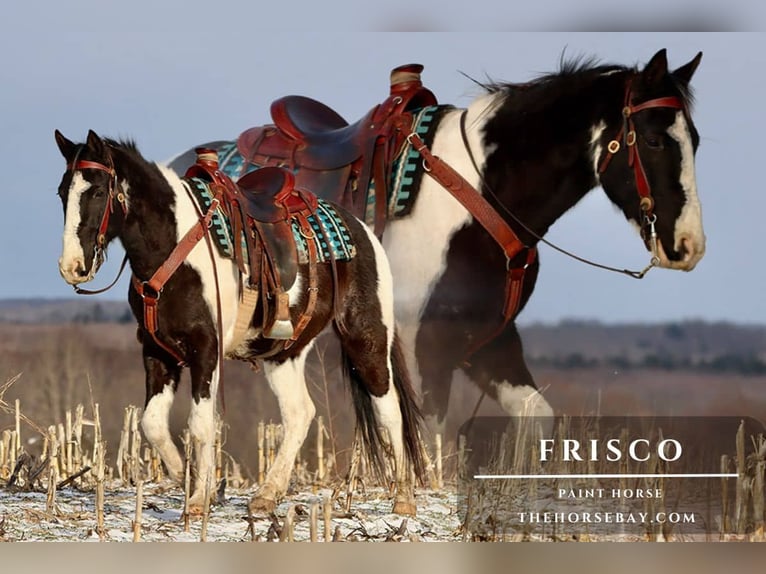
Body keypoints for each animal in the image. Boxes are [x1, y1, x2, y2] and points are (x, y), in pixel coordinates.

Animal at [53, 129, 425, 516]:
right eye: (63, 192)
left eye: (97, 191)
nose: (72, 267)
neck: (175, 249)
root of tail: (363, 231)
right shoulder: (157, 350)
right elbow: (152, 423)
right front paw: (188, 478)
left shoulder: (206, 350)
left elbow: (201, 424)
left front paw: (198, 500)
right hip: (284, 353)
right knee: (299, 413)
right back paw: (267, 494)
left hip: (367, 338)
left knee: (389, 409)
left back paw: (403, 500)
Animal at [167, 49, 706, 436]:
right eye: (654, 140)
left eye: (695, 141)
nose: (688, 245)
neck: (478, 195)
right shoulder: (423, 348)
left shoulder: (486, 343)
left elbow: (537, 418)